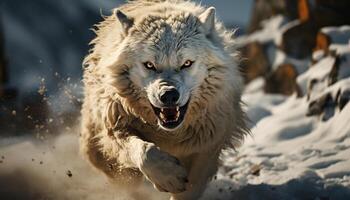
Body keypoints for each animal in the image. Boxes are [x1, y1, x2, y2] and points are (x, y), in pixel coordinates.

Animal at [80, 0, 249, 199]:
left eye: (186, 63)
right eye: (149, 65)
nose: (169, 95)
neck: (170, 133)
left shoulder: (209, 145)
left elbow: (190, 188)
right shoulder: (116, 128)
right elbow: (145, 151)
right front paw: (168, 177)